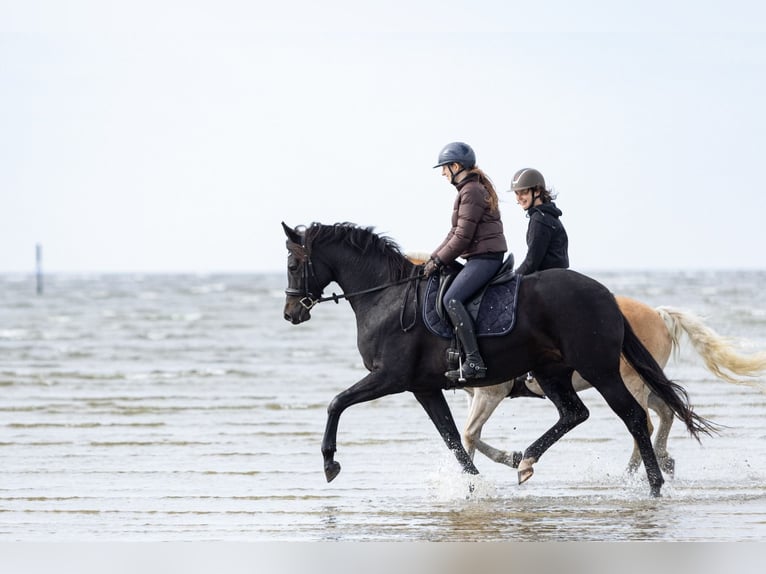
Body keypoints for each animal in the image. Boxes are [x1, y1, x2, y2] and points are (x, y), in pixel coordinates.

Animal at [282, 221, 717, 497]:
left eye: (292, 263)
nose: (290, 313)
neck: (388, 297)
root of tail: (608, 296)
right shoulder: (425, 388)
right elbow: (454, 437)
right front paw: (477, 482)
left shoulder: (391, 378)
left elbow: (337, 403)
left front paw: (330, 464)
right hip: (553, 372)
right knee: (581, 413)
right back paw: (529, 460)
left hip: (604, 372)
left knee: (636, 418)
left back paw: (653, 483)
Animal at [461, 297, 766, 476]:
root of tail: (658, 314)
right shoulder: (476, 395)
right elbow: (470, 436)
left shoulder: (491, 393)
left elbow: (469, 434)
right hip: (643, 383)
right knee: (665, 413)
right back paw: (662, 460)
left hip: (629, 382)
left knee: (645, 422)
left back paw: (630, 476)